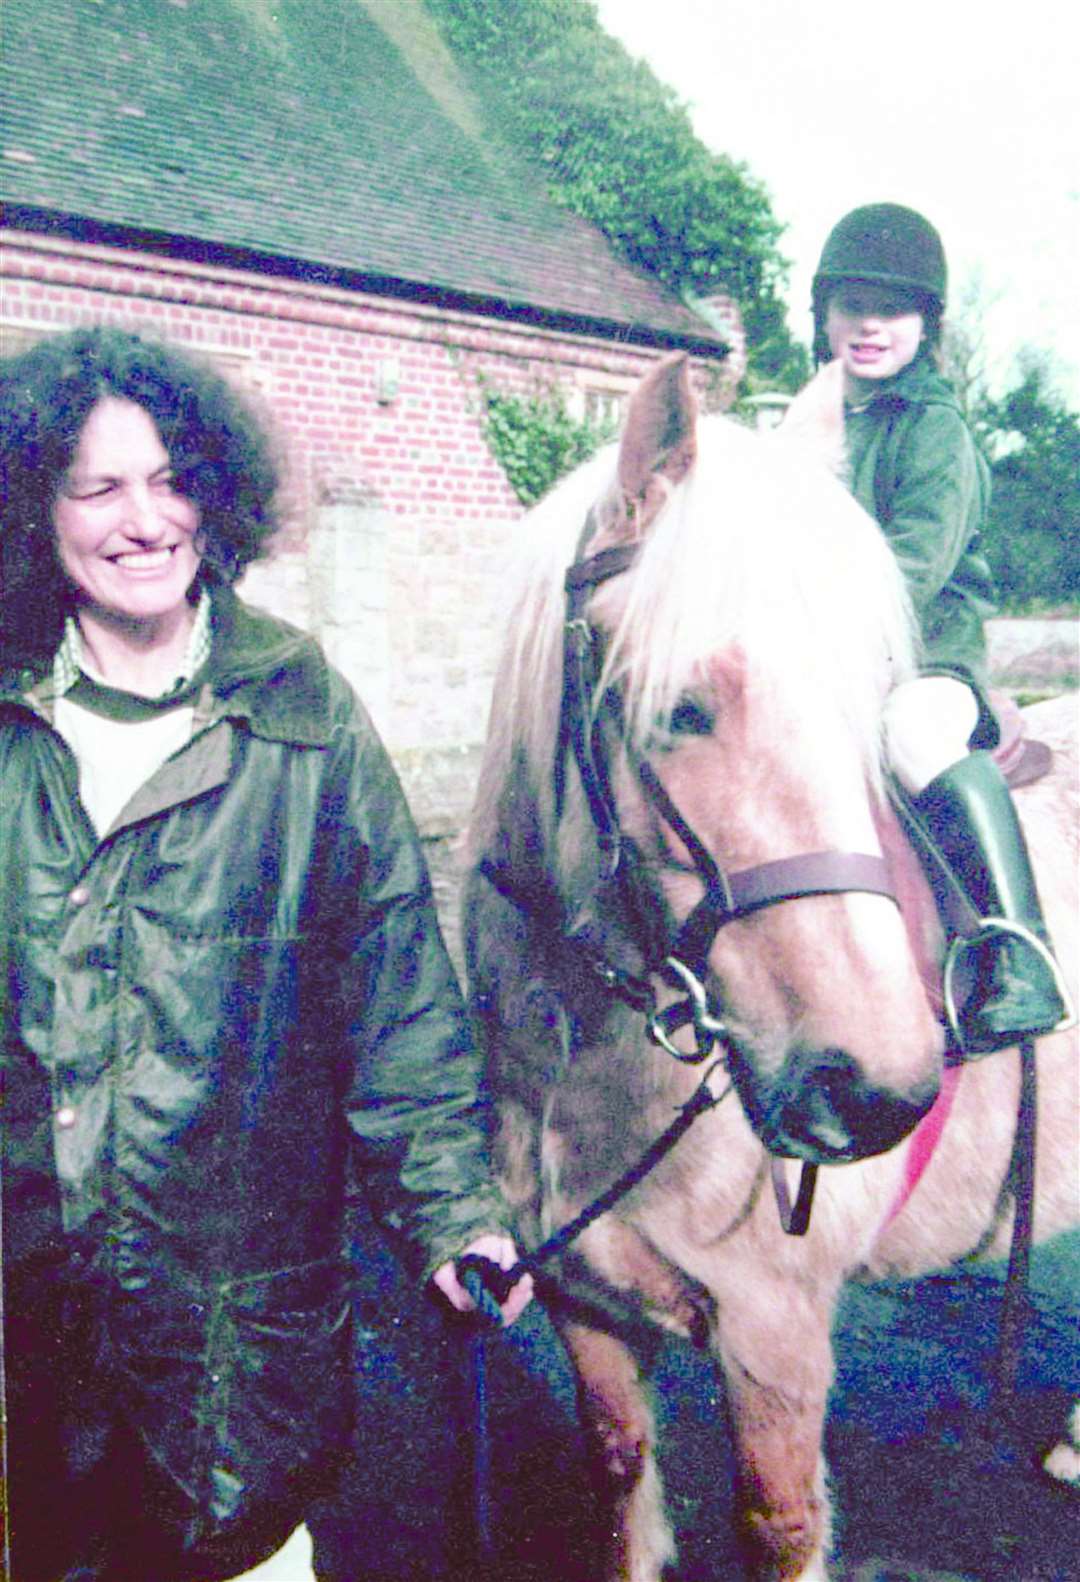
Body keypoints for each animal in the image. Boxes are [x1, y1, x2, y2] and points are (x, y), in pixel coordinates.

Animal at [468, 359, 1080, 1582]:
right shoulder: (580, 1304)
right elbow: (621, 1474)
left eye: (865, 704)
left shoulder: (775, 1339)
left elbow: (779, 1522)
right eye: (681, 709)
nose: (877, 1091)